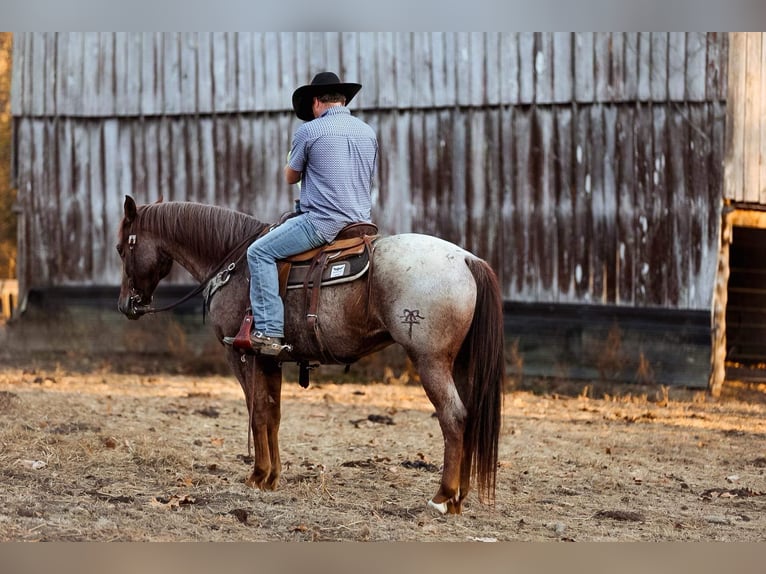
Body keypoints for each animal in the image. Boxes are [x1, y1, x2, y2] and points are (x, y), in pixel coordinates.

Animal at [116, 195, 505, 515]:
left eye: (122, 248)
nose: (126, 305)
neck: (233, 264)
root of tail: (467, 259)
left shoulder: (242, 357)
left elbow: (257, 412)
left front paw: (257, 475)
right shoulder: (270, 358)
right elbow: (272, 414)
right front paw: (272, 477)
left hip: (430, 361)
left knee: (453, 417)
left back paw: (442, 497)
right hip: (460, 364)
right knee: (469, 416)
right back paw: (460, 496)